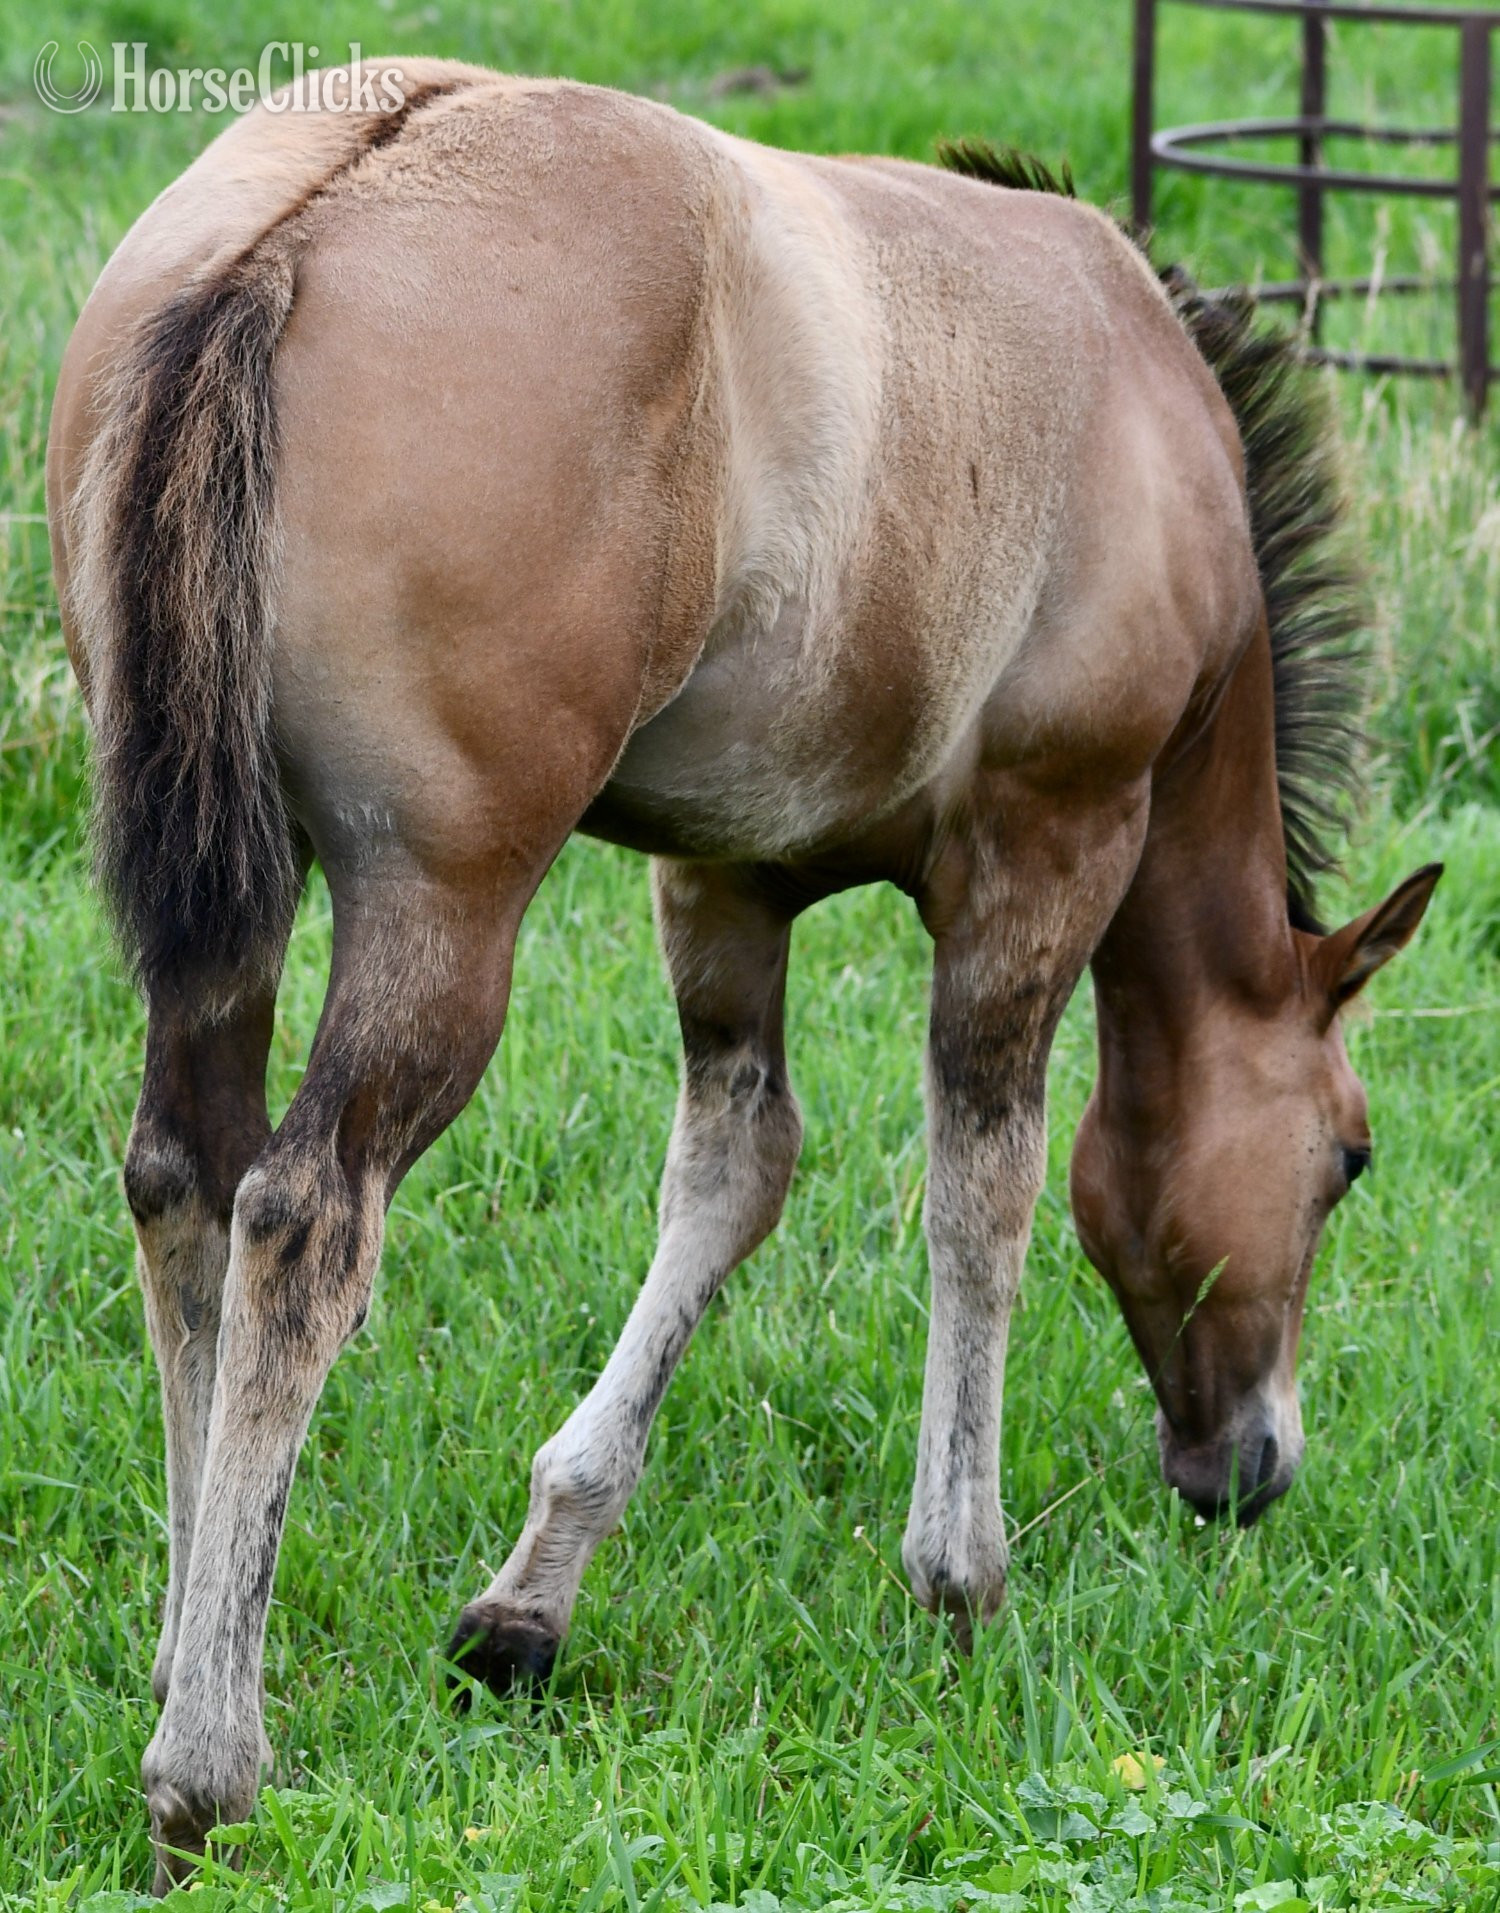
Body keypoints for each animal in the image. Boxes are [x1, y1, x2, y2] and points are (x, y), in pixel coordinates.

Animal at [46, 62, 1439, 1889]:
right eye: (1348, 1158)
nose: (1251, 1467)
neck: (1153, 422)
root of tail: (306, 219)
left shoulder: (727, 877)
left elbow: (732, 1176)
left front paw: (528, 1601)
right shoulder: (1047, 846)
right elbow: (983, 1195)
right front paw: (960, 1578)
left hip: (238, 898)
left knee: (186, 1184)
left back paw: (181, 1650)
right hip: (442, 902)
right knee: (302, 1218)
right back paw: (208, 1767)